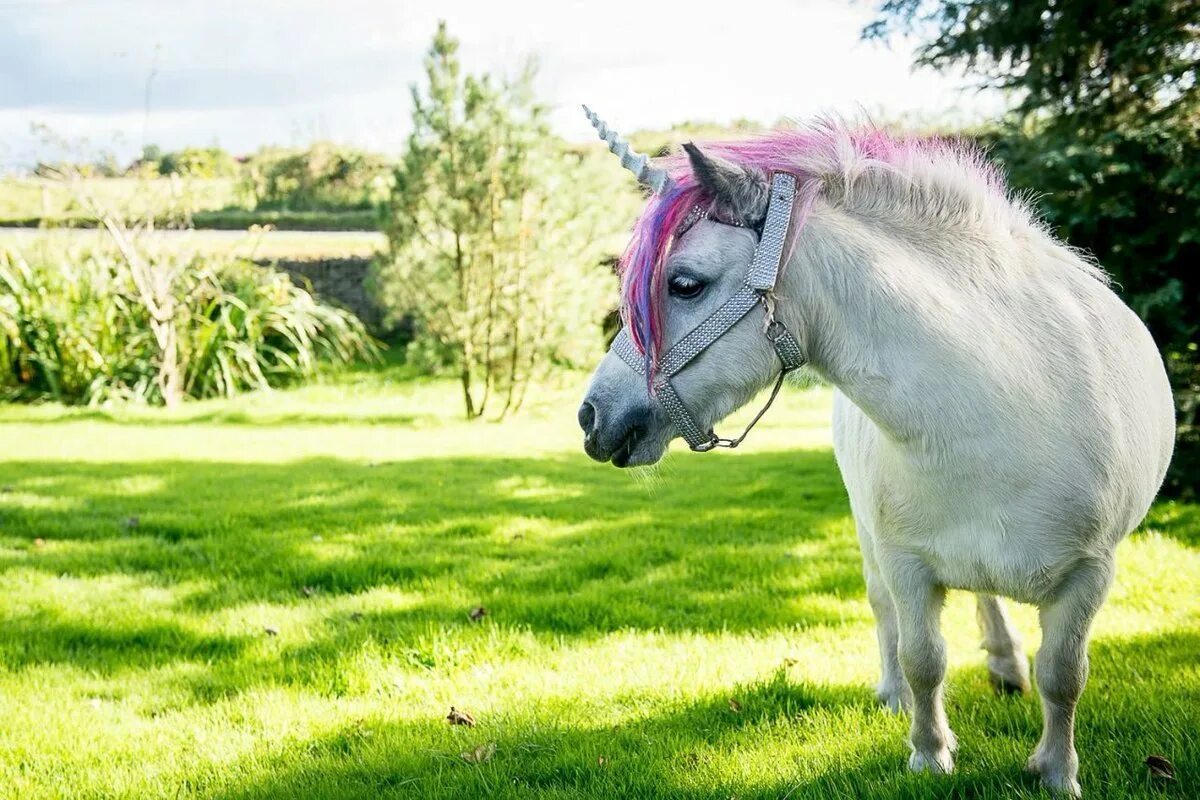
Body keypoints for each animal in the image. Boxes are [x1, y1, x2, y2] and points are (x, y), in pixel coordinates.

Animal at [576, 109, 1176, 796]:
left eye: (684, 284)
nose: (591, 416)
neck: (1002, 407)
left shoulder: (1089, 574)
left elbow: (1064, 675)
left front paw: (1055, 771)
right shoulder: (906, 562)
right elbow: (924, 659)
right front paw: (930, 753)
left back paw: (1005, 666)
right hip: (867, 531)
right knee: (888, 608)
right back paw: (899, 692)